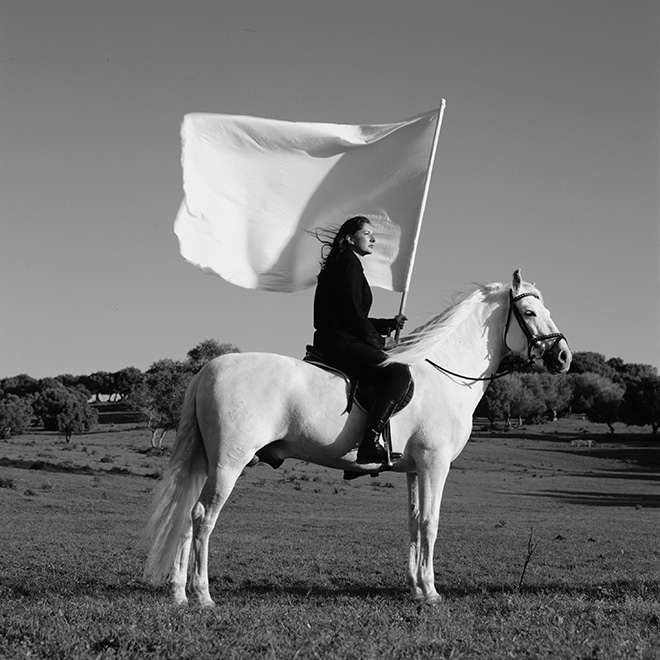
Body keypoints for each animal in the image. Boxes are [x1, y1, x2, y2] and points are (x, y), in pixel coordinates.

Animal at [146, 268, 572, 604]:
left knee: (188, 515)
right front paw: (432, 592)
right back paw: (202, 595)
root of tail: (208, 368)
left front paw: (416, 588)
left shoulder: (413, 470)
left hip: (208, 463)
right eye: (530, 313)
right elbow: (430, 523)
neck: (445, 373)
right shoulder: (434, 465)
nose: (564, 357)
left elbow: (414, 524)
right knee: (203, 517)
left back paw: (179, 594)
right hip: (228, 464)